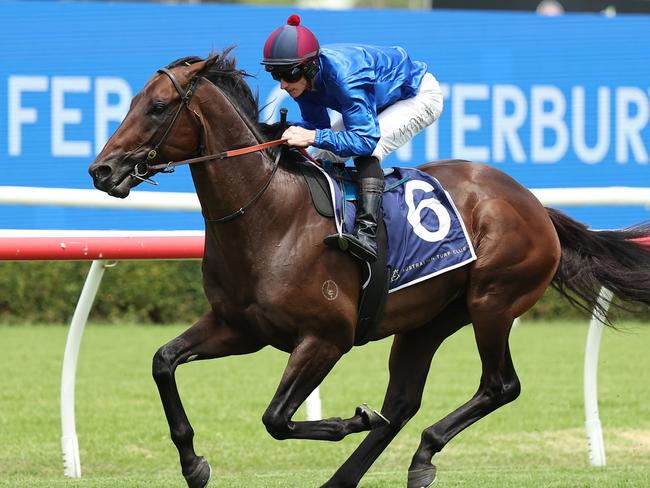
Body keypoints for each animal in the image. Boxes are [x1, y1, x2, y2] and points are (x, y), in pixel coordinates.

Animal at [87, 50, 648, 488]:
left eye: (158, 107)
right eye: (132, 102)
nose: (102, 170)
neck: (268, 215)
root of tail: (534, 205)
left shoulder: (326, 337)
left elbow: (277, 418)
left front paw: (347, 420)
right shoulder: (238, 327)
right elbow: (163, 362)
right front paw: (193, 463)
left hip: (492, 302)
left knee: (498, 386)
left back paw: (421, 451)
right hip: (428, 320)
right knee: (401, 402)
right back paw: (353, 475)